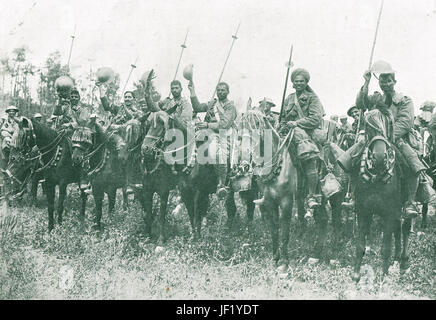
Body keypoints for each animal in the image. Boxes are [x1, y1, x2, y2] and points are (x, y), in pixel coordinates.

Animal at [350, 109, 412, 280]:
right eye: (369, 127)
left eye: (388, 125)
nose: (379, 158)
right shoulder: (364, 212)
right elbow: (360, 244)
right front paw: (356, 273)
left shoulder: (389, 213)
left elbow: (385, 247)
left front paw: (383, 275)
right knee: (398, 229)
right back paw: (396, 258)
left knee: (405, 228)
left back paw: (403, 262)